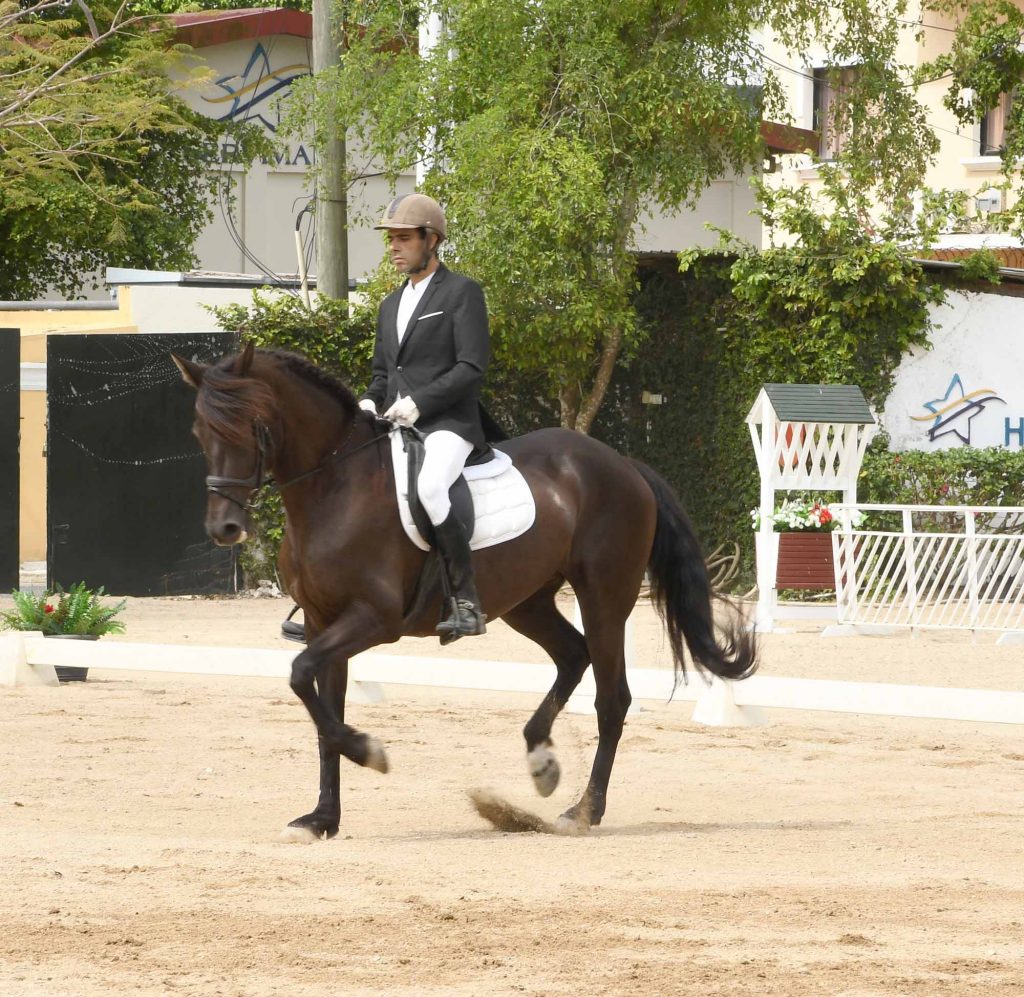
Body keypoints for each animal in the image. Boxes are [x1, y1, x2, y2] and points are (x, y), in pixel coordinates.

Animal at [174, 348, 753, 839]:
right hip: (526, 601)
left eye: (253, 425)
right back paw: (541, 762)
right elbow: (321, 708)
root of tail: (623, 463)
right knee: (573, 655)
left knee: (612, 698)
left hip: (604, 597)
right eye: (200, 430)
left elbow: (301, 678)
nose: (224, 528)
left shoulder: (374, 619)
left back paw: (583, 810)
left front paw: (370, 751)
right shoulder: (322, 621)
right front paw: (321, 819)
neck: (334, 486)